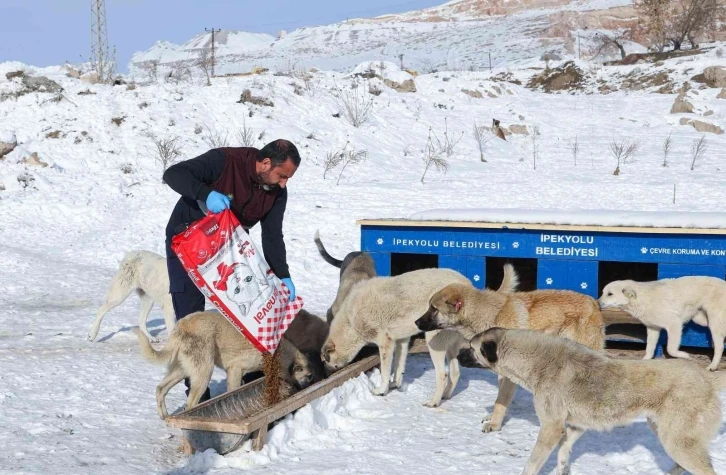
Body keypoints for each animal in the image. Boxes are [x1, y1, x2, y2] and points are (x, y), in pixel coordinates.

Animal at [133, 312, 324, 416]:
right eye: (309, 376)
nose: (313, 384)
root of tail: (180, 327)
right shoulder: (235, 370)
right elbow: (233, 391)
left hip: (182, 370)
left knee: (160, 389)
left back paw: (164, 415)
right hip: (204, 372)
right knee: (190, 403)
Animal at [460, 330, 726, 475]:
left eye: (472, 347)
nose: (458, 355)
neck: (536, 361)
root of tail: (707, 378)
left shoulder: (551, 428)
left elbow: (533, 463)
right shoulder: (575, 427)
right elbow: (564, 453)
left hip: (677, 441)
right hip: (665, 433)